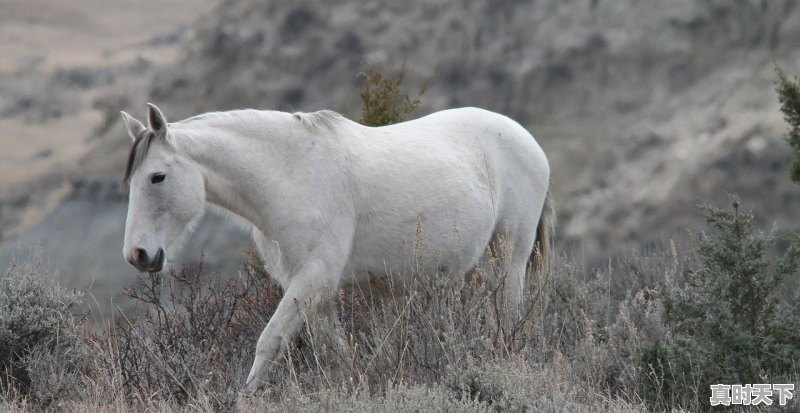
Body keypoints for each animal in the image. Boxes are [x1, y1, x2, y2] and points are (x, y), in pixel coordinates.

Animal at [122, 103, 552, 390]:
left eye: (157, 177)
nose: (138, 255)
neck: (291, 174)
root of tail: (526, 139)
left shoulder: (313, 278)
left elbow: (269, 341)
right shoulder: (313, 288)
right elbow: (335, 352)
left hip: (510, 259)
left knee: (508, 315)